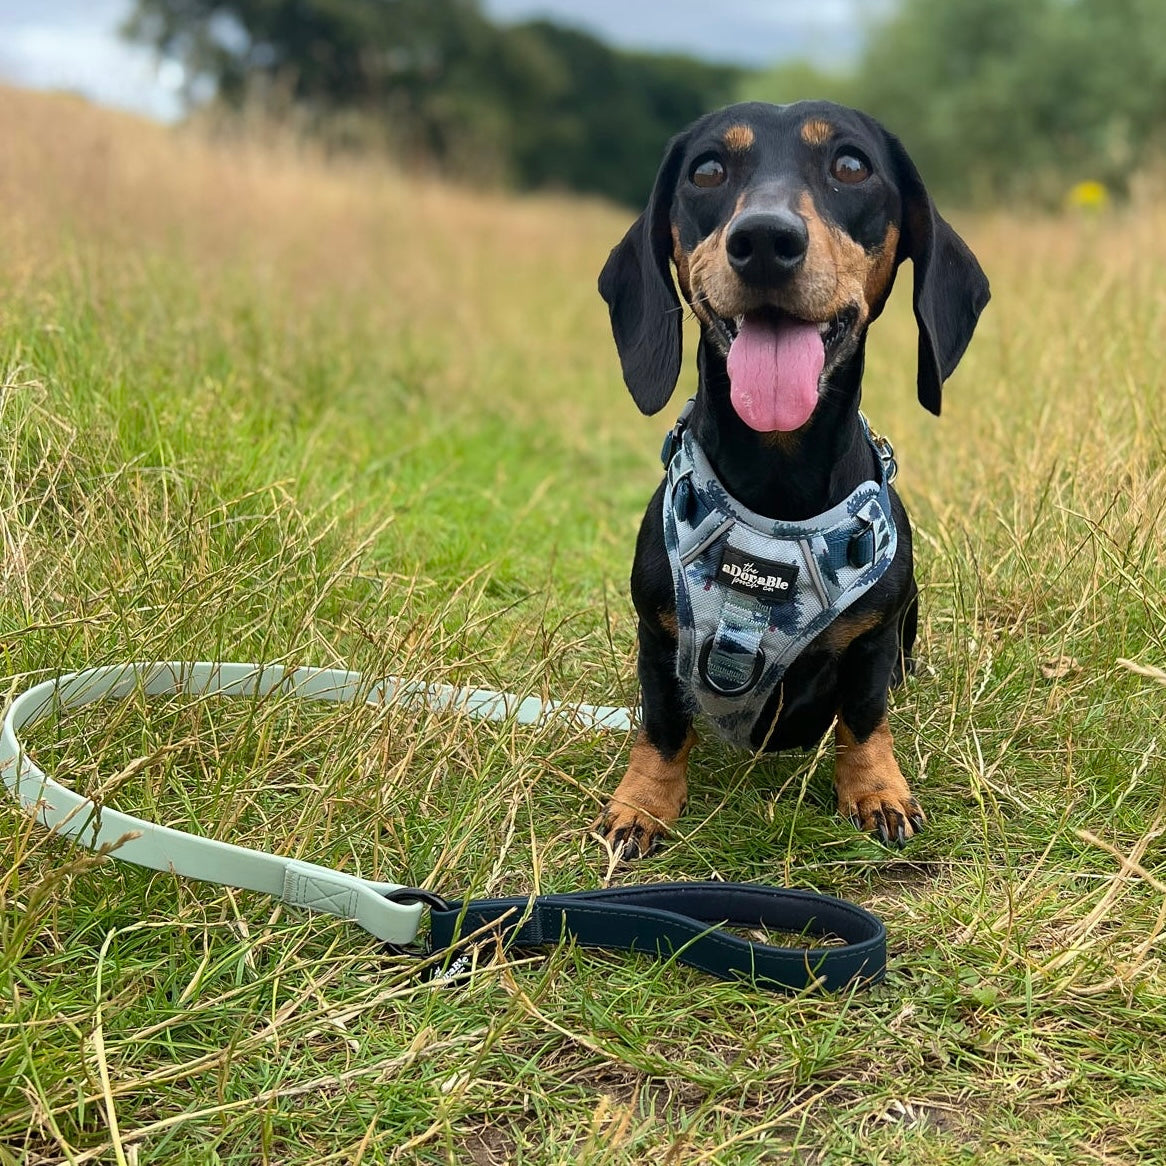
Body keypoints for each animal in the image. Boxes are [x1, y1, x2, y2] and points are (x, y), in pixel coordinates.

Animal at [596, 100, 988, 858]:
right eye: (707, 170)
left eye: (851, 165)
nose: (764, 240)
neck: (775, 486)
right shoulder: (658, 635)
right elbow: (662, 727)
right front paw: (642, 805)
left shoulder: (872, 639)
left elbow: (863, 717)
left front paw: (876, 791)